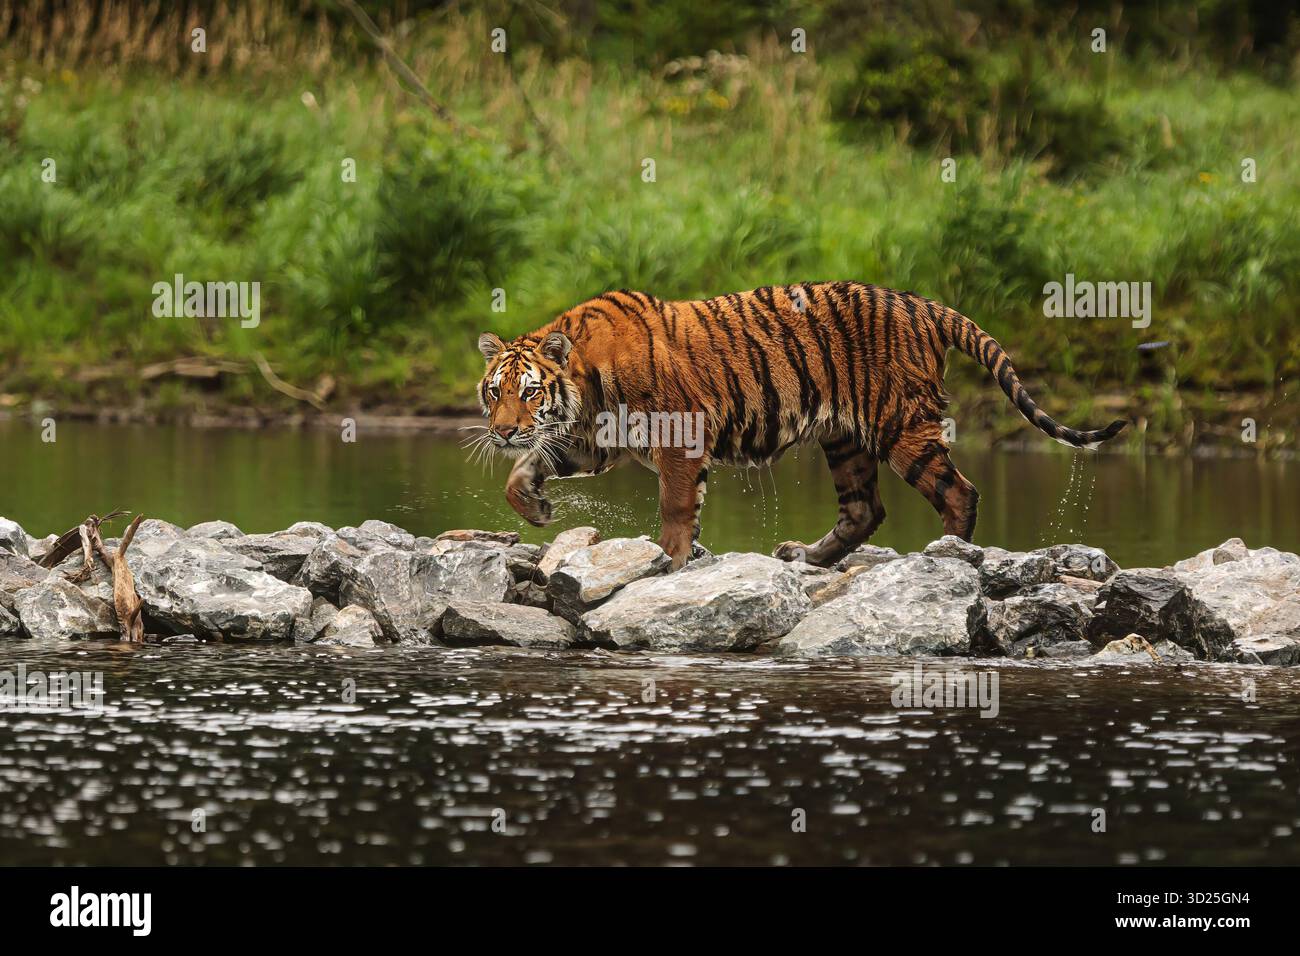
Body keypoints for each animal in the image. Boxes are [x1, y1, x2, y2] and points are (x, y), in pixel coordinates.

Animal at [473, 283, 1127, 571]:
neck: (583, 383)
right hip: (845, 438)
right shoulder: (594, 440)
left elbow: (677, 509)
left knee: (959, 492)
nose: (501, 431)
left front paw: (671, 561)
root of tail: (924, 304)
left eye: (529, 392)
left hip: (900, 425)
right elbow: (525, 469)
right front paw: (536, 507)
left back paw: (947, 556)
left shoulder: (679, 439)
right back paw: (807, 557)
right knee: (864, 510)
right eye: (494, 392)